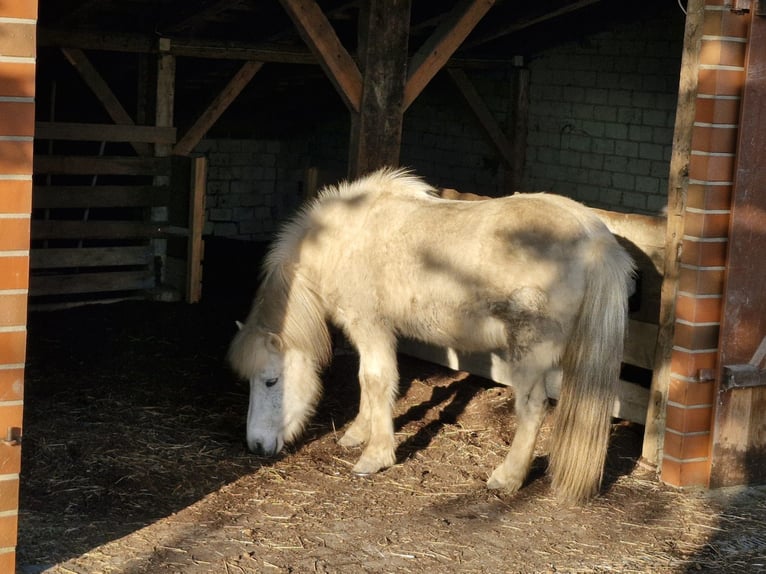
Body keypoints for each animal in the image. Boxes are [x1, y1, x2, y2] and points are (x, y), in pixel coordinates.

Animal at [230, 166, 636, 504]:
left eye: (270, 380)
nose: (256, 445)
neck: (343, 238)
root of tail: (593, 237)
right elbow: (367, 383)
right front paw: (357, 434)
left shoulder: (370, 325)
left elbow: (376, 380)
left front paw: (375, 456)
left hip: (529, 351)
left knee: (533, 408)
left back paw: (507, 478)